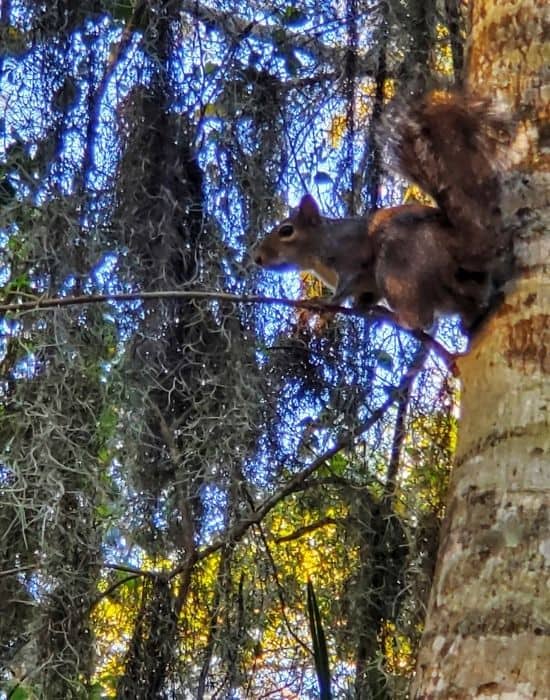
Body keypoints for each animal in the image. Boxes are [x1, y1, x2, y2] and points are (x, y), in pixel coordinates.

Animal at [253, 91, 513, 332]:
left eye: (286, 231)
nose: (257, 258)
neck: (318, 251)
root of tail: (460, 245)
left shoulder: (352, 256)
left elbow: (347, 284)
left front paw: (327, 303)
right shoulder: (369, 287)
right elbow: (364, 296)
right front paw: (359, 306)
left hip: (396, 269)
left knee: (421, 319)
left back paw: (396, 317)